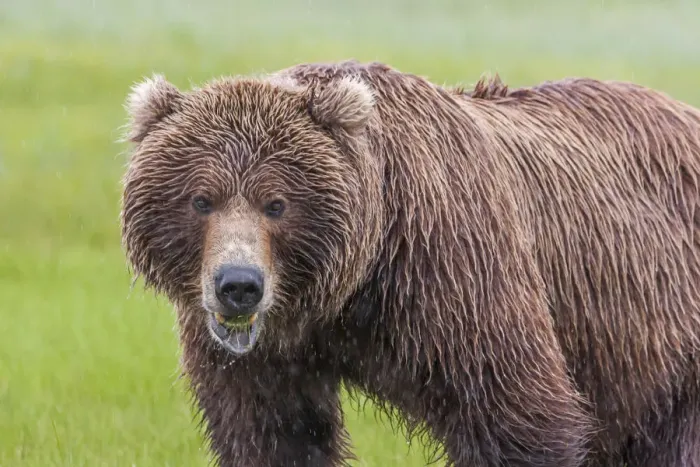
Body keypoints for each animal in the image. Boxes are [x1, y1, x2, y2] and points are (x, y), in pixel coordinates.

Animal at [120, 60, 700, 467]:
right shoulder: (264, 358)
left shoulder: (453, 270)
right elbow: (270, 432)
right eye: (201, 199)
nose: (239, 285)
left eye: (276, 203)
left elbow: (517, 415)